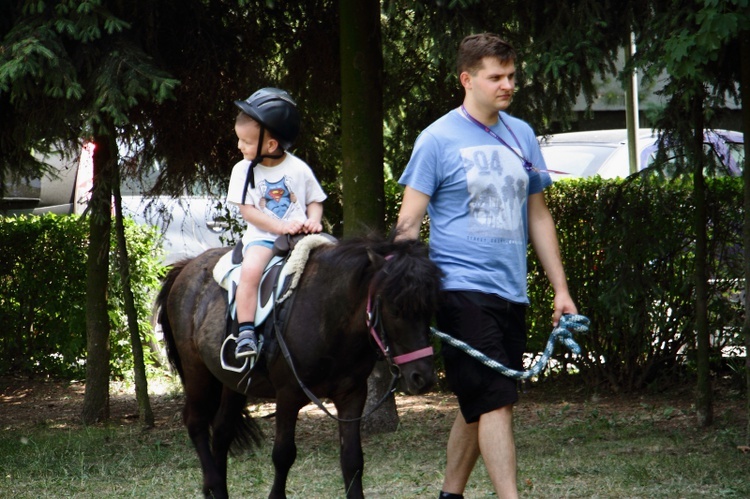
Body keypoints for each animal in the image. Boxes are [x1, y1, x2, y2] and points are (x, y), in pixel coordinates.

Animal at [156, 235, 444, 499]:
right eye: (394, 310)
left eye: (430, 308)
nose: (422, 377)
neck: (328, 316)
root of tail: (187, 266)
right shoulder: (288, 394)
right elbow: (283, 455)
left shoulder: (352, 395)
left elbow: (352, 460)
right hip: (197, 371)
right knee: (195, 423)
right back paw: (213, 484)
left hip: (231, 383)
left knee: (221, 432)